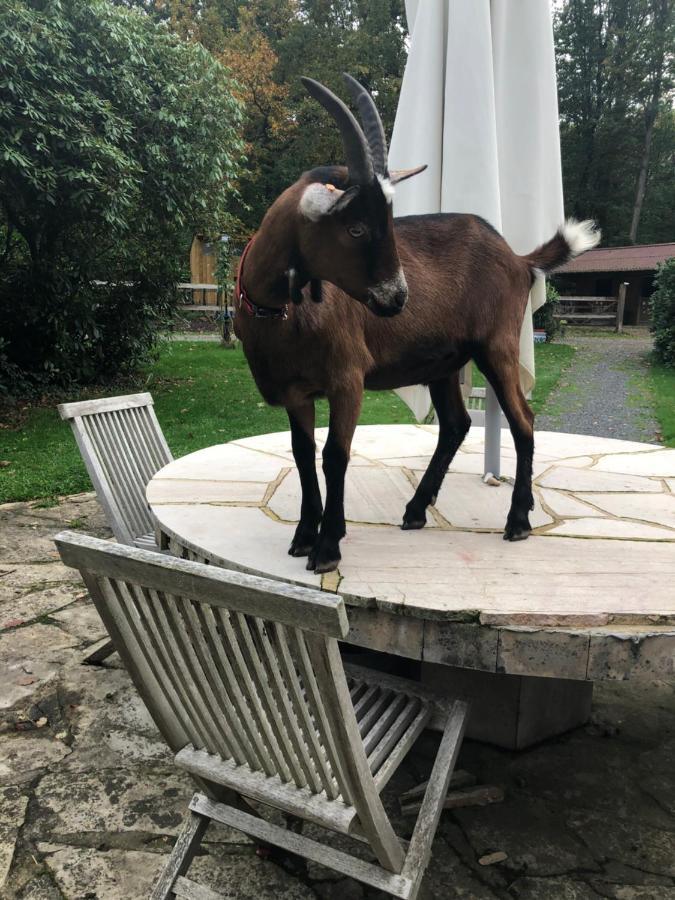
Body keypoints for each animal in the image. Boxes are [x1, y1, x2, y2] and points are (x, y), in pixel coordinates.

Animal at [234, 74, 604, 572]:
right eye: (356, 228)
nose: (397, 297)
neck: (280, 316)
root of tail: (519, 259)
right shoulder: (296, 391)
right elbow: (303, 455)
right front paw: (303, 537)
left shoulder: (346, 377)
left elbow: (335, 455)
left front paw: (328, 547)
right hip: (444, 361)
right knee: (456, 424)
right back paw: (416, 509)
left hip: (497, 345)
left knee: (523, 420)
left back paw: (518, 521)